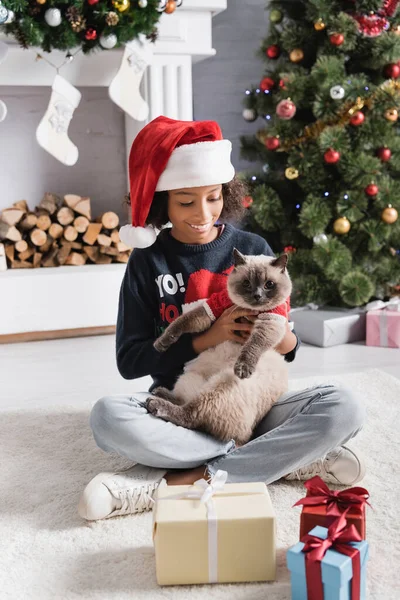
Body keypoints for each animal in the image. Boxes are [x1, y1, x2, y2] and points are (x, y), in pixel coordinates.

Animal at [145, 248, 292, 446]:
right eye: (246, 283)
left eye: (269, 284)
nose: (257, 296)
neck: (248, 311)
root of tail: (245, 438)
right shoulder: (213, 307)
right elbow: (180, 323)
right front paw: (161, 344)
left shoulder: (270, 322)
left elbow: (253, 345)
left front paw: (243, 368)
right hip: (189, 378)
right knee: (186, 403)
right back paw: (159, 393)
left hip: (221, 385)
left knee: (191, 415)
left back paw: (154, 403)